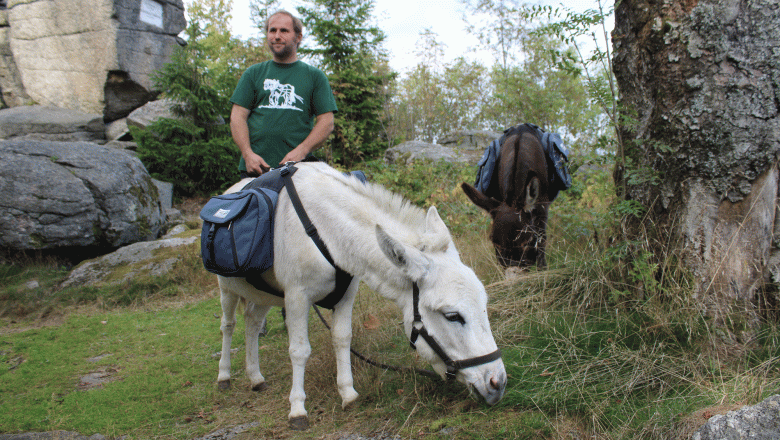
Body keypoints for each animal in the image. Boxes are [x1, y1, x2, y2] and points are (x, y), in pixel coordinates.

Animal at [215, 161, 507, 430]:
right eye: (452, 316)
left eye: (484, 305)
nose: (498, 383)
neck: (325, 229)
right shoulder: (297, 296)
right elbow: (299, 350)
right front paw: (297, 409)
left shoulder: (346, 293)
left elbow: (342, 338)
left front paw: (348, 394)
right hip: (227, 289)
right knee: (228, 325)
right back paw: (224, 376)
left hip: (263, 294)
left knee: (252, 322)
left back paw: (256, 377)